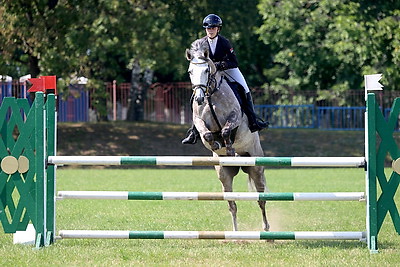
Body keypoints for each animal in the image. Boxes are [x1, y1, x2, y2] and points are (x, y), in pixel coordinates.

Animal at [186, 38, 270, 233]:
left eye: (206, 70)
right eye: (190, 71)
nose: (199, 98)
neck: (210, 95)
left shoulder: (235, 117)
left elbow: (226, 130)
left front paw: (229, 147)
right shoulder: (199, 121)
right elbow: (206, 134)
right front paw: (217, 145)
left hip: (256, 167)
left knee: (261, 199)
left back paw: (266, 228)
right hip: (224, 174)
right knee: (232, 204)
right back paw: (235, 232)